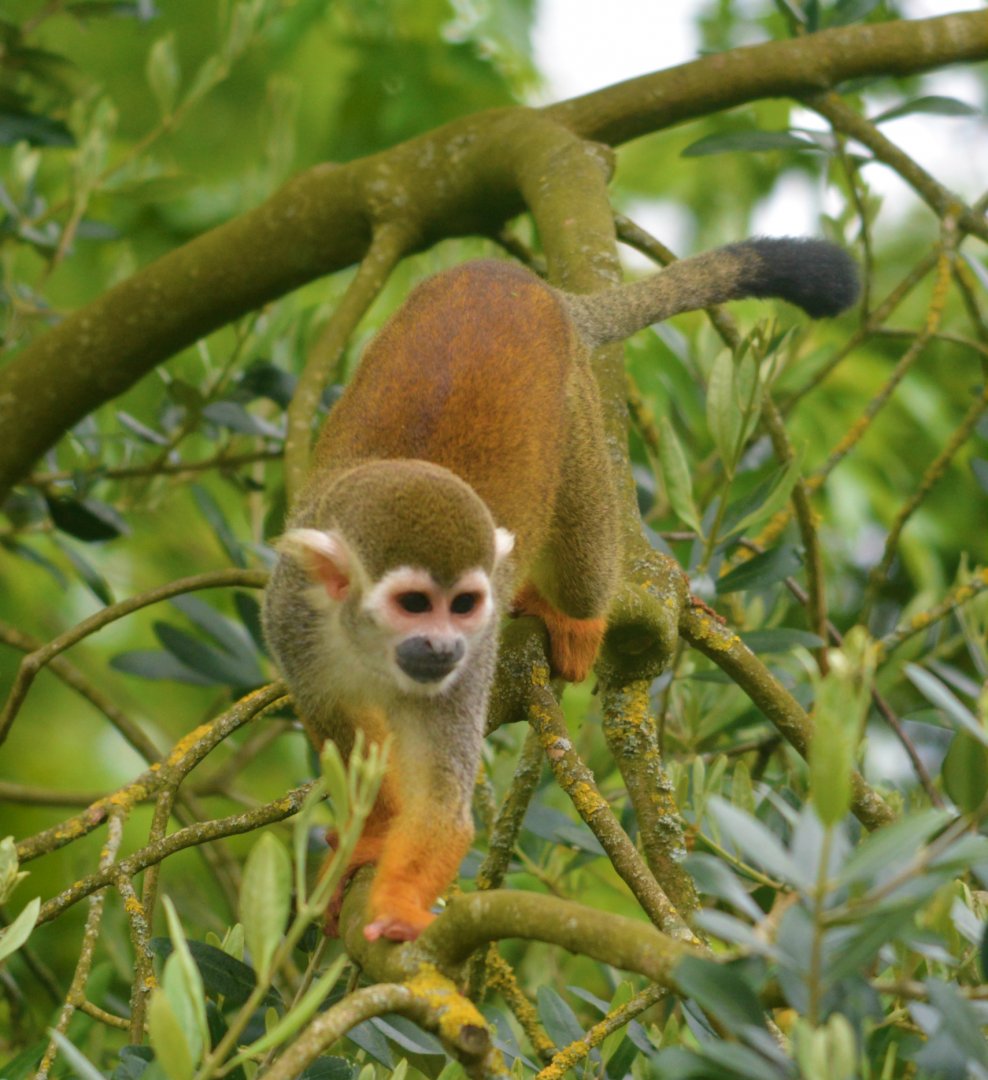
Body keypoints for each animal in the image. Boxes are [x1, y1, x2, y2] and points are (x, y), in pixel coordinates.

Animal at [262, 236, 858, 943]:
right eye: (413, 604)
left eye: (463, 605)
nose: (443, 647)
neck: (366, 645)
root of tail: (529, 283)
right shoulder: (292, 618)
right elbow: (339, 729)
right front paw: (371, 834)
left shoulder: (472, 659)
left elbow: (444, 805)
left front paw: (396, 901)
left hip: (577, 416)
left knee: (583, 565)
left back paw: (580, 618)